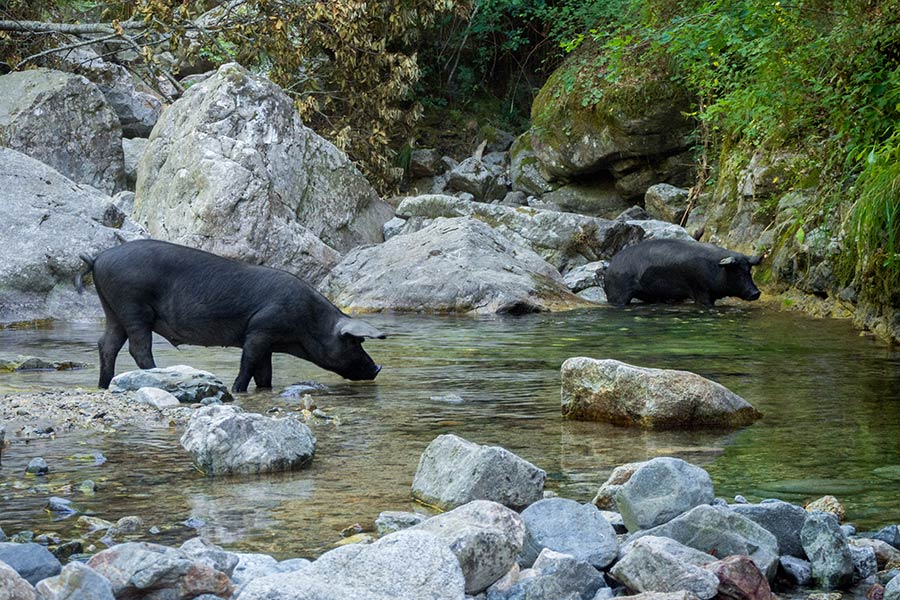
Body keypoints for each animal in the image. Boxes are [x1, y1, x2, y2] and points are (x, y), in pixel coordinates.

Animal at [74, 239, 384, 394]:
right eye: (354, 342)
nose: (377, 367)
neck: (308, 321)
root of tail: (98, 258)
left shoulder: (268, 342)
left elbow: (265, 373)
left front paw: (263, 389)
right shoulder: (260, 330)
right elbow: (248, 363)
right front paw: (237, 390)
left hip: (112, 309)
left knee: (107, 345)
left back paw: (103, 385)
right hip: (133, 307)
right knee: (138, 349)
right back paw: (155, 373)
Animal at [600, 238, 764, 308]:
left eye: (749, 271)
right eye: (736, 271)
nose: (756, 292)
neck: (716, 269)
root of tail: (610, 266)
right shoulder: (701, 290)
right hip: (618, 292)